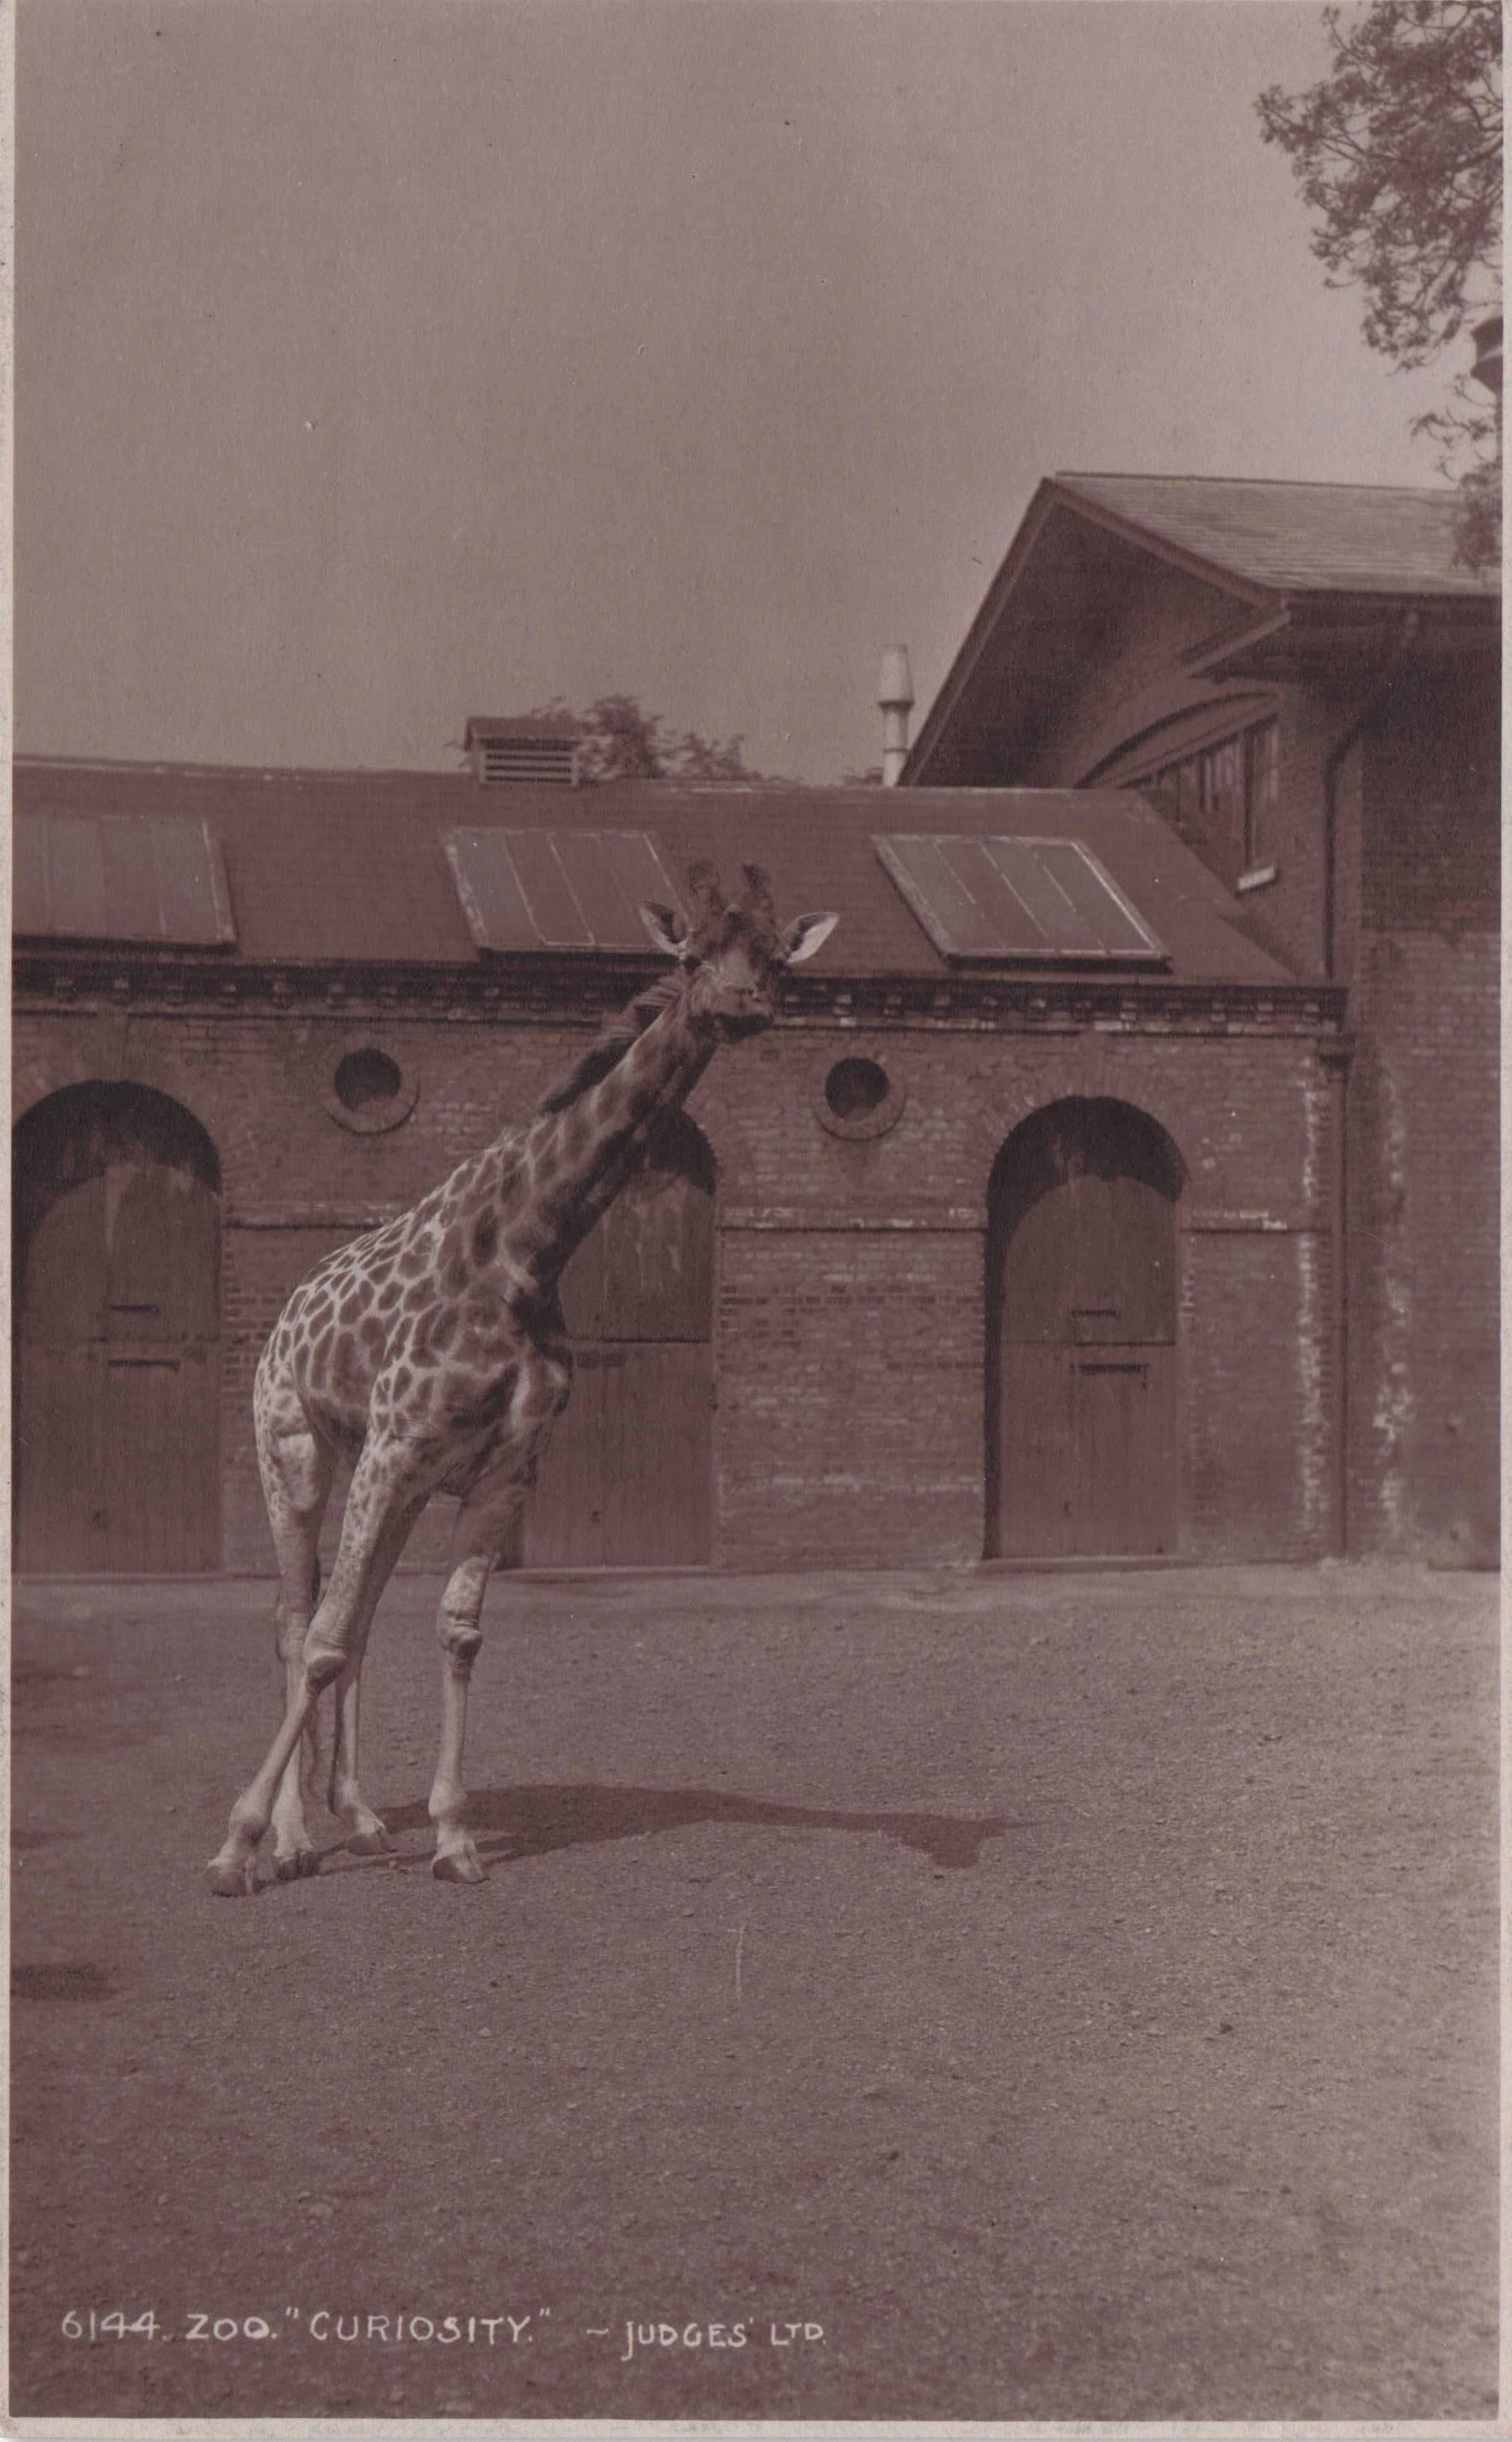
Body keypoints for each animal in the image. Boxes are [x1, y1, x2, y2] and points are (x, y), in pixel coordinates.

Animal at [207, 863, 838, 1896]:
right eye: (692, 954)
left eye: (778, 958)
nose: (745, 1004)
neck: (525, 1252)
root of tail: (286, 1315)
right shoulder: (392, 1445)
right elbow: (324, 1639)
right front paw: (236, 1844)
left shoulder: (506, 1466)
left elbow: (454, 1631)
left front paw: (453, 1836)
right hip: (295, 1450)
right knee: (297, 1619)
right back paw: (292, 1838)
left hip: (401, 1482)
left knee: (357, 1616)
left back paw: (362, 1818)